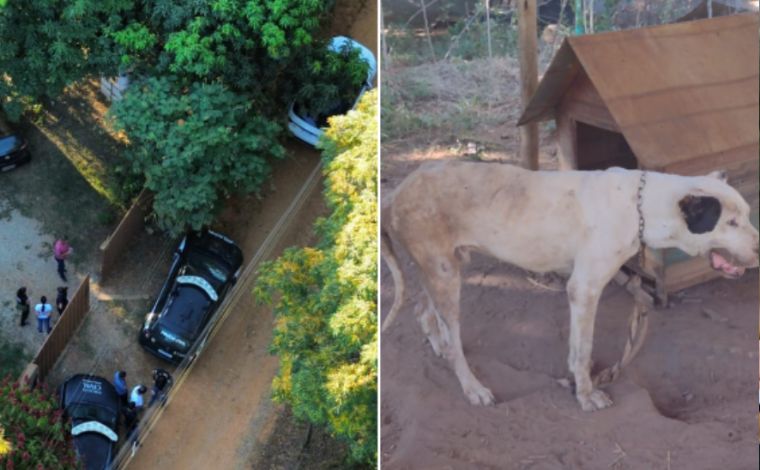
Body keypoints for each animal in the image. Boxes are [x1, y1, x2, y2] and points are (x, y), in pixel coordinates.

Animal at [382, 162, 756, 412]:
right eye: (730, 222)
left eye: (747, 215)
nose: (759, 249)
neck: (641, 206)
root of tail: (396, 193)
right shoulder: (584, 289)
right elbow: (582, 350)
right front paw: (586, 395)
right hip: (445, 274)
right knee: (453, 341)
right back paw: (473, 387)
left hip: (446, 268)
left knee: (424, 312)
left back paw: (439, 346)